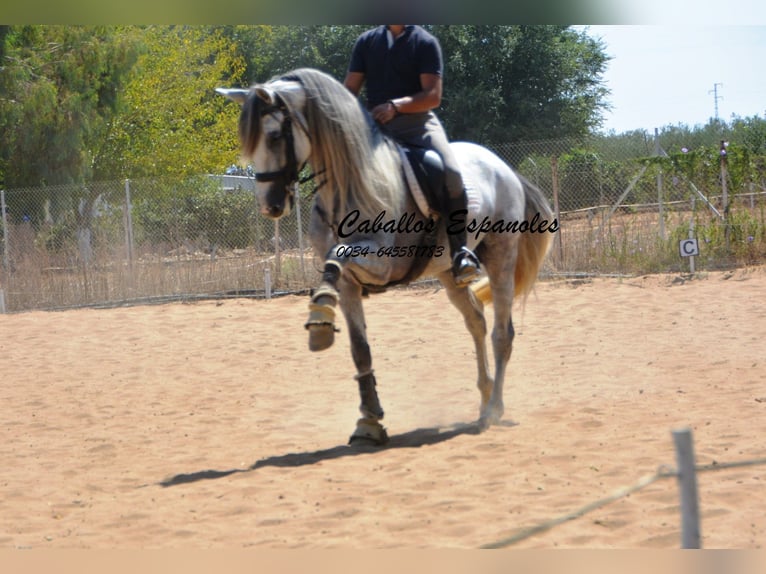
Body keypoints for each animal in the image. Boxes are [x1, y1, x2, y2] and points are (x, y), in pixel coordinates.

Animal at [219, 66, 556, 446]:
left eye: (275, 136)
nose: (270, 206)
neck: (350, 186)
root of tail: (503, 166)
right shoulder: (350, 285)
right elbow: (359, 347)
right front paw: (369, 421)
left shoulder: (381, 263)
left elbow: (338, 254)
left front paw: (320, 316)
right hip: (447, 272)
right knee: (476, 321)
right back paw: (483, 397)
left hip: (501, 256)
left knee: (502, 333)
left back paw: (493, 410)